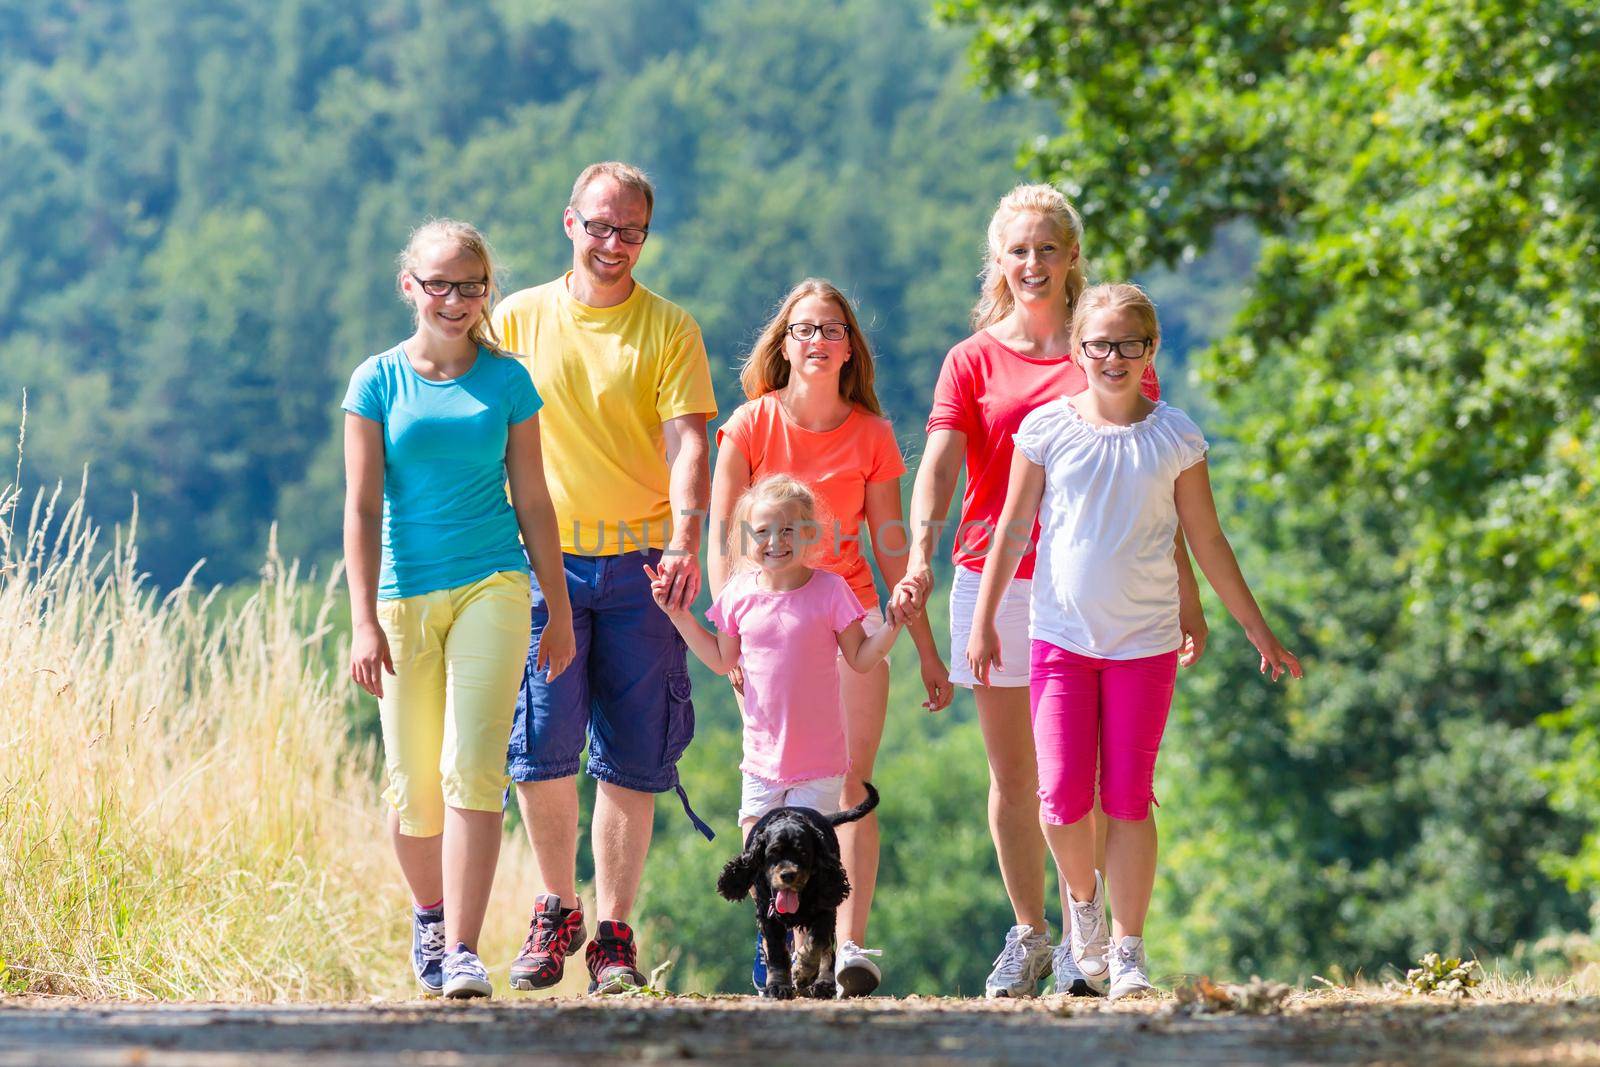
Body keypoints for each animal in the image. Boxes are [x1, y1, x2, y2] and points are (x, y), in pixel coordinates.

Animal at [720, 783, 883, 1004]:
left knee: (827, 950)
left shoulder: (825, 909)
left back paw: (823, 984)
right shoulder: (768, 914)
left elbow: (815, 943)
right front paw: (778, 986)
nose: (788, 875)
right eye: (773, 853)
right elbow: (777, 952)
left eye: (804, 853)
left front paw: (803, 972)